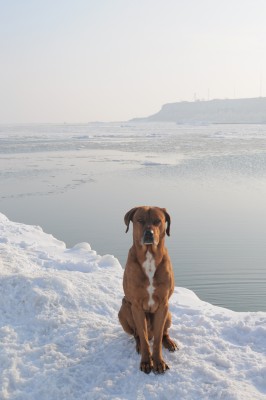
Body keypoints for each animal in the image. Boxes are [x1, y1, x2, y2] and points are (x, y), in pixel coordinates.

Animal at [118, 208, 177, 374]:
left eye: (158, 221)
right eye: (140, 220)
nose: (149, 233)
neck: (149, 256)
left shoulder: (163, 304)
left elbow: (157, 340)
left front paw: (158, 361)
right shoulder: (137, 306)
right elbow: (143, 338)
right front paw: (146, 361)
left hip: (169, 314)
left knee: (162, 333)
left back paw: (168, 342)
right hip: (124, 309)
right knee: (138, 334)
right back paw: (138, 344)